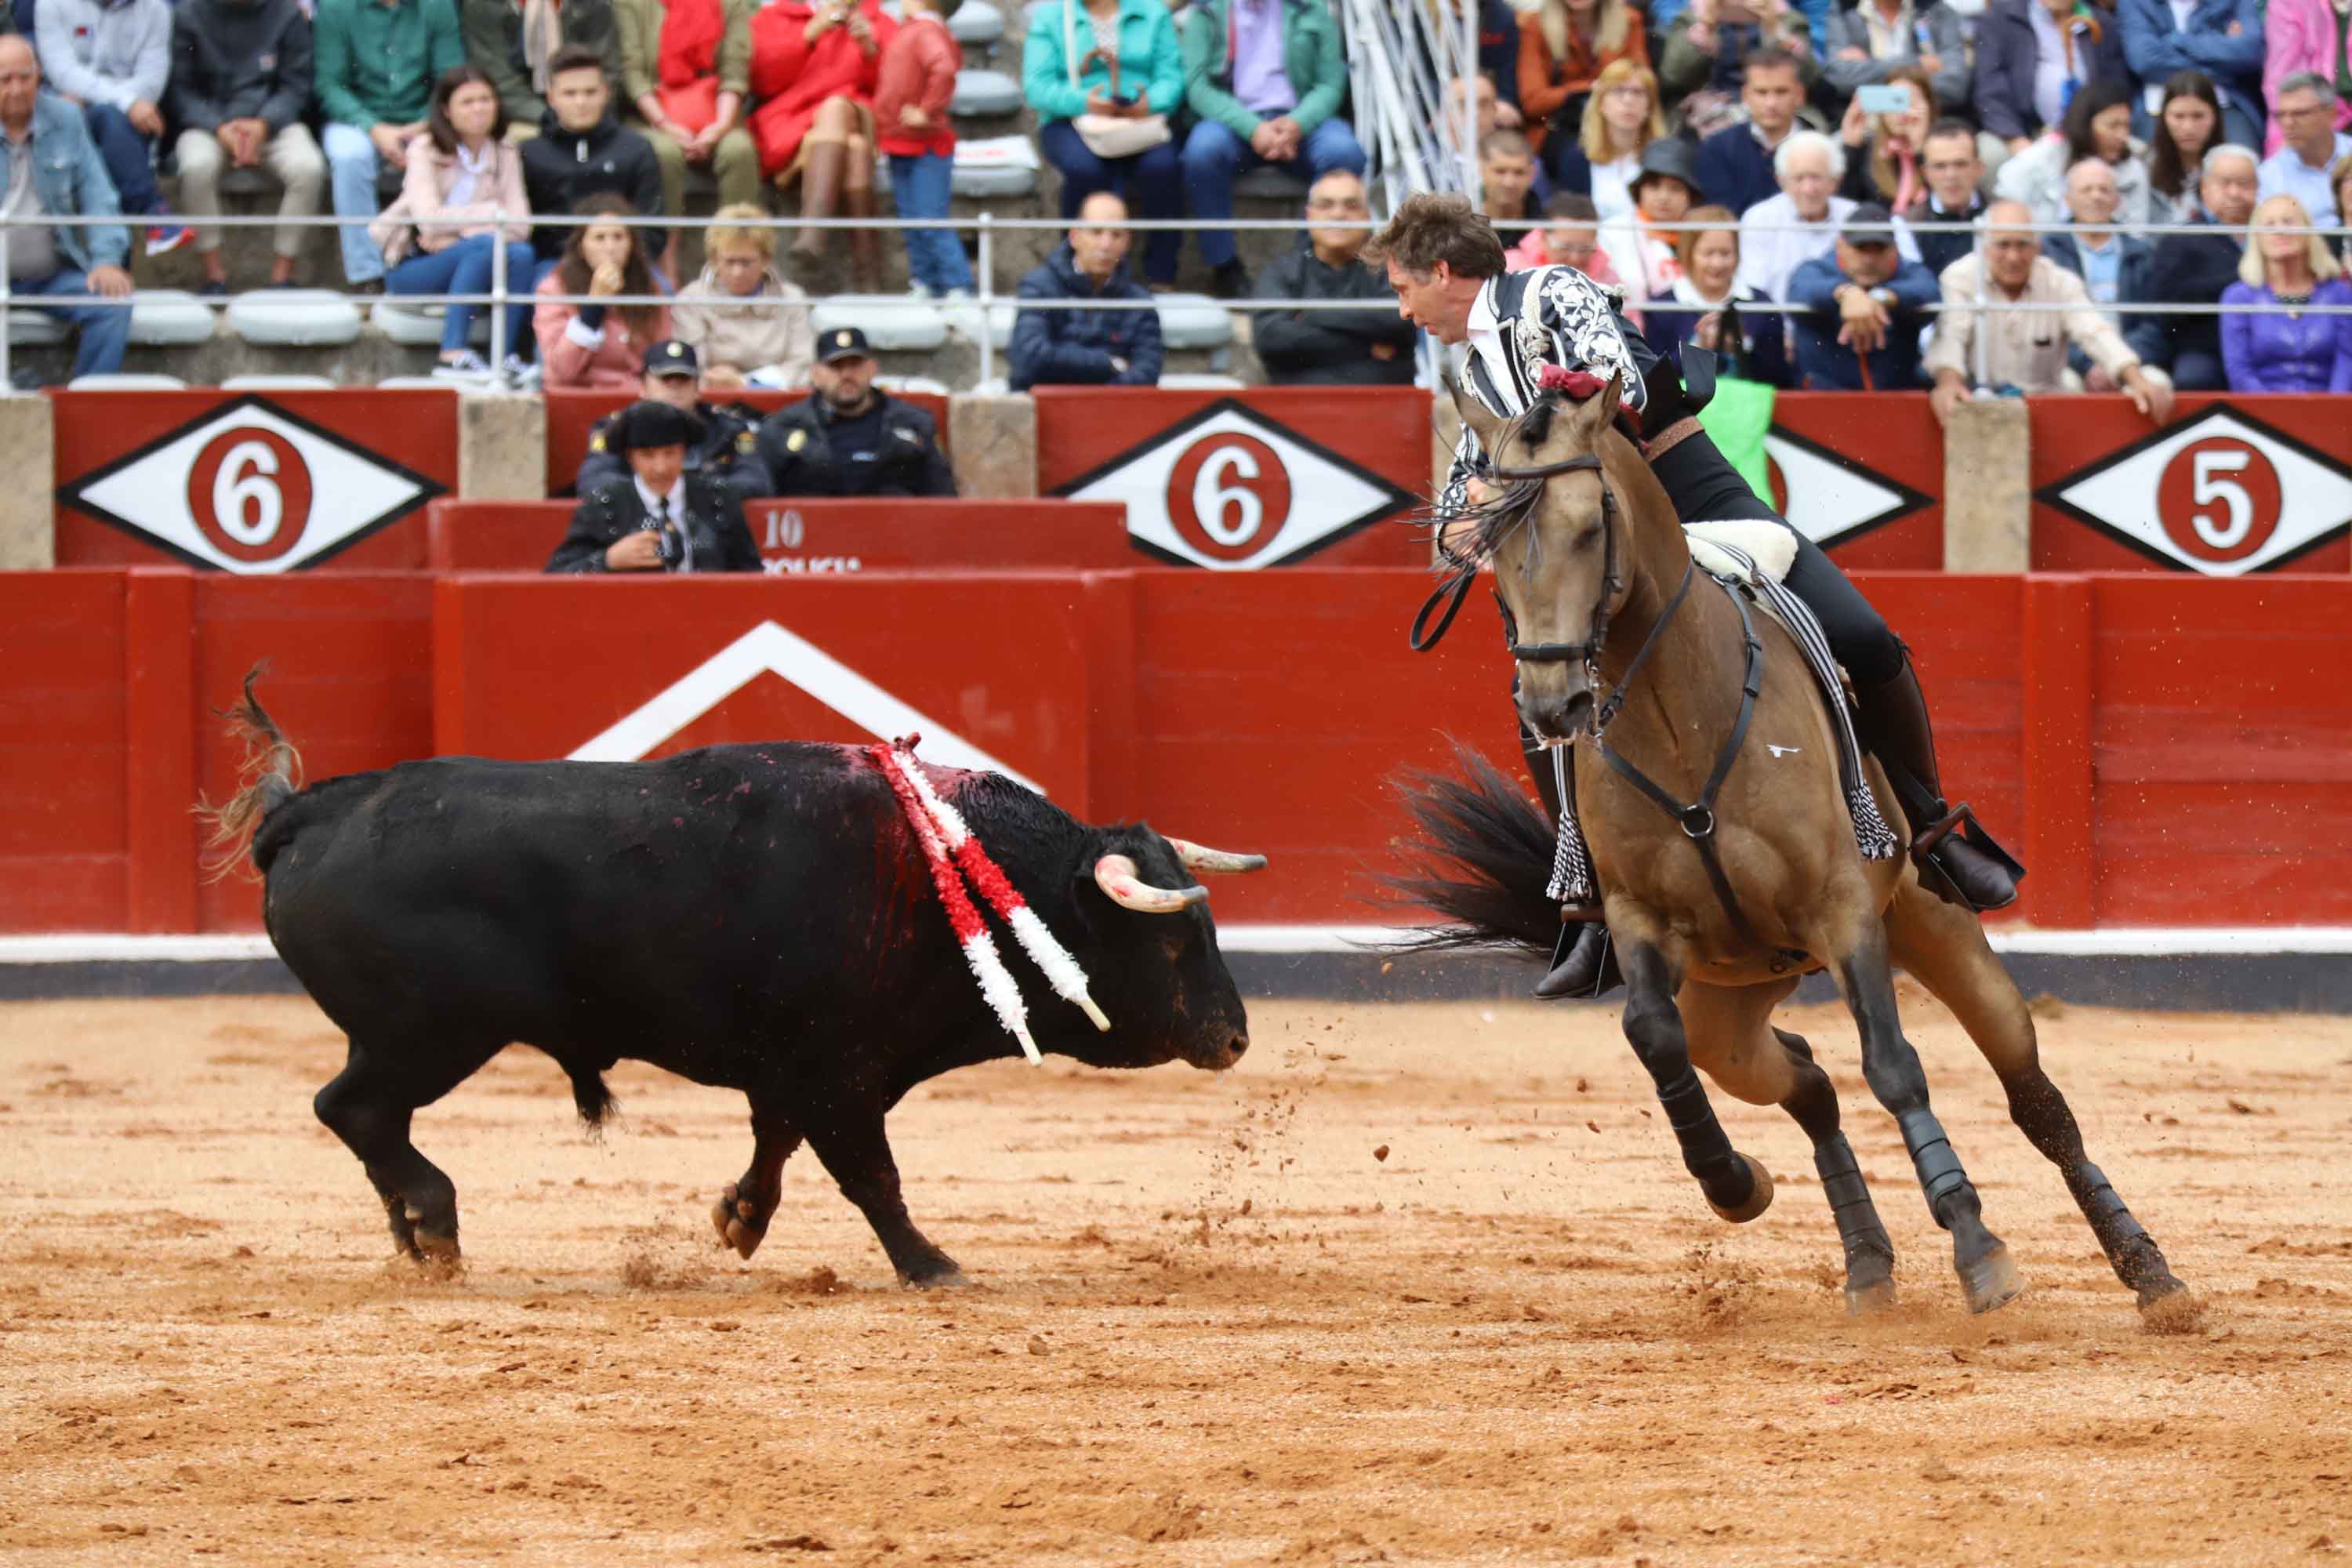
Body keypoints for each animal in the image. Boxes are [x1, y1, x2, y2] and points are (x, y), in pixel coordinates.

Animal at [212, 677, 1261, 1288]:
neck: (943, 876)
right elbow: (869, 1172)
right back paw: (434, 1223)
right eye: (1175, 940)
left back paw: (413, 1239)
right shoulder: (839, 1070)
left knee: (368, 1120)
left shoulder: (800, 1067)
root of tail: (312, 811)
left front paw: (738, 1220)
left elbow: (778, 1145)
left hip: (406, 1036)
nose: (1235, 1036)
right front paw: (932, 1266)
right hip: (427, 1032)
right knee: (352, 1108)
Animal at [1392, 380, 2183, 1326]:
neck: (1677, 713)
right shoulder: (1638, 918)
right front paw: (1734, 1183)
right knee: (1803, 1077)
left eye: (1590, 526)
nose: (1553, 704)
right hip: (1729, 1004)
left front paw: (1979, 1249)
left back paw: (2151, 1272)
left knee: (2035, 1098)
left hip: (1931, 925)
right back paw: (1867, 1263)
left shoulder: (1841, 908)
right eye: (1492, 546)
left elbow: (1895, 1065)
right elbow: (1650, 1033)